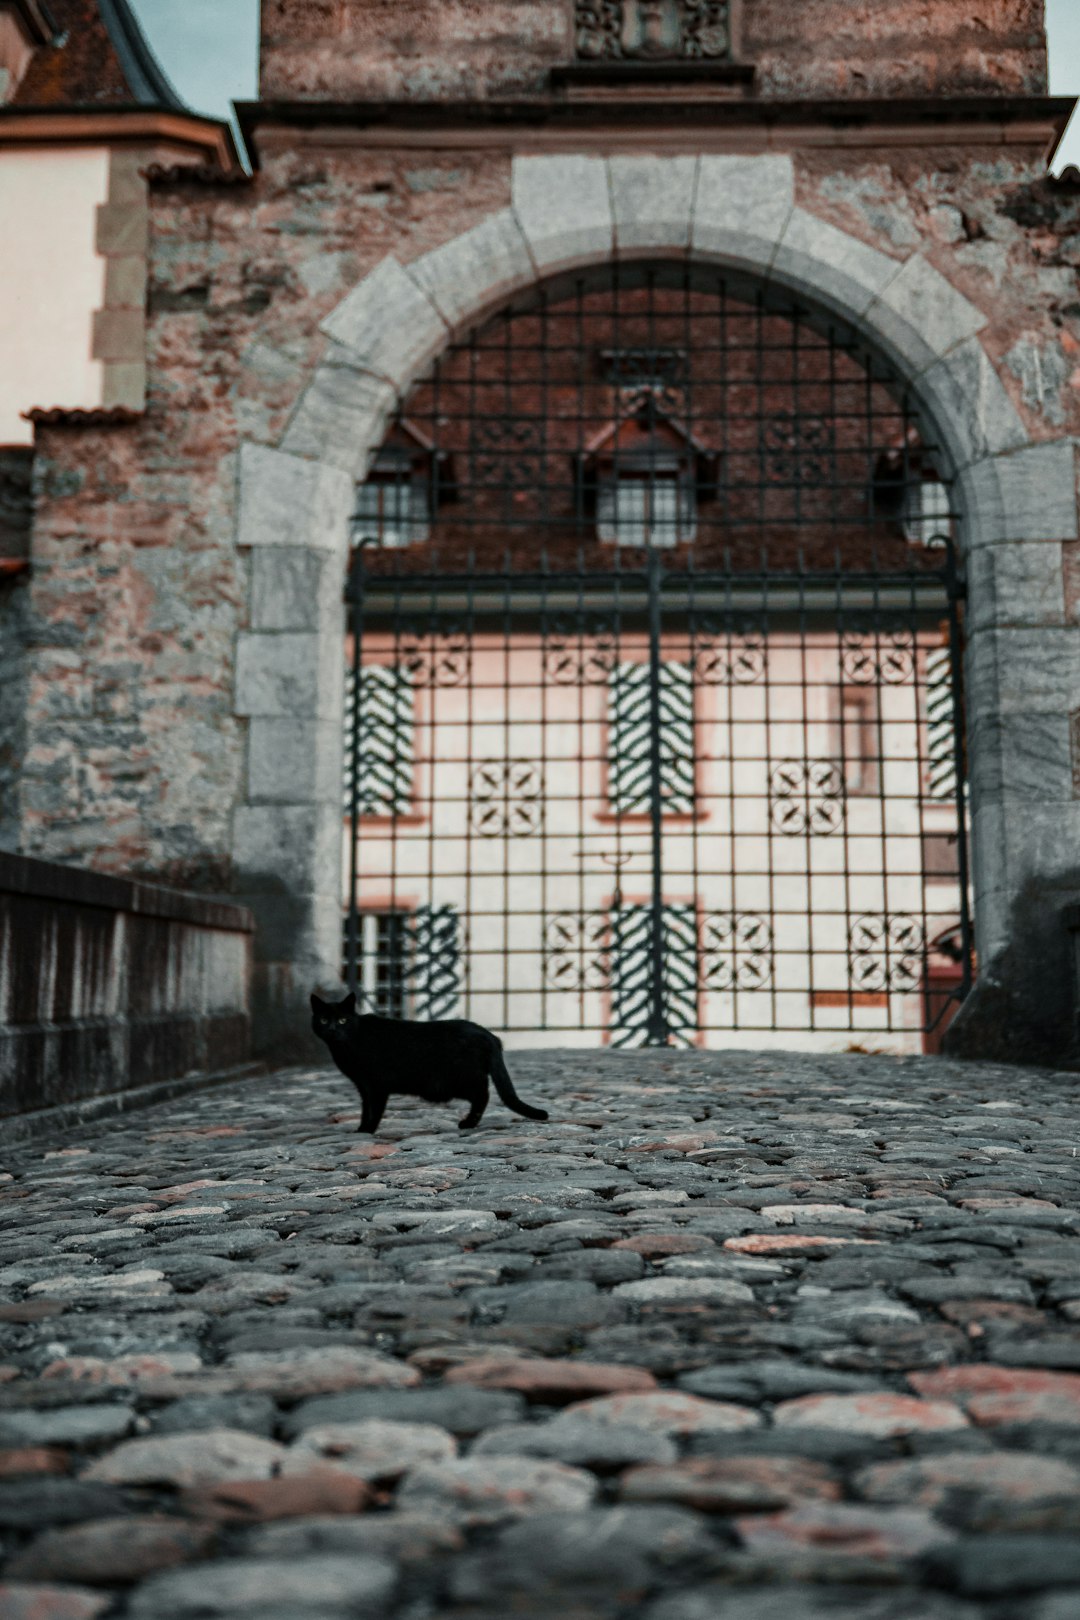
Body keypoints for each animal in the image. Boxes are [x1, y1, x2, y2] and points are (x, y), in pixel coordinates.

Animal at [310, 991, 550, 1134]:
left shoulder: (376, 1085)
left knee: (483, 1093)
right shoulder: (363, 1086)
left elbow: (374, 1109)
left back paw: (469, 1123)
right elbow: (365, 1108)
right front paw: (361, 1129)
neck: (348, 1044)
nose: (333, 1029)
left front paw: (368, 1130)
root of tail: (488, 1034)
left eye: (343, 1020)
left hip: (457, 1080)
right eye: (324, 1019)